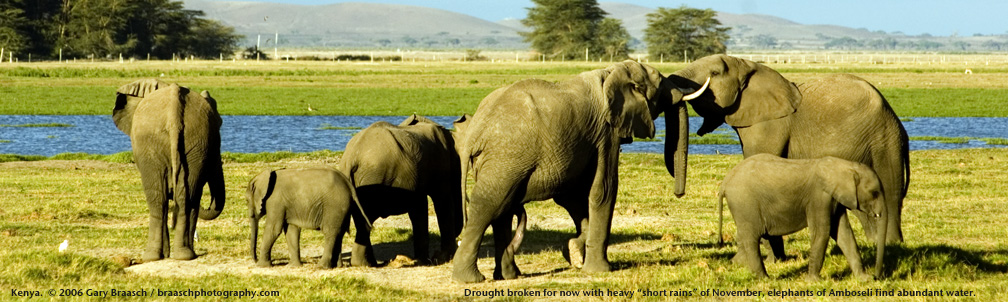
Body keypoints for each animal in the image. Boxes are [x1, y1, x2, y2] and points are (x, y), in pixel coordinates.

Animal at [113, 79, 225, 259]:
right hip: (184, 141)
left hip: (187, 142)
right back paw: (172, 255)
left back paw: (171, 255)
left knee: (171, 199)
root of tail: (174, 110)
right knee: (176, 198)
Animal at [338, 113, 463, 265]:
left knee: (362, 219)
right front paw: (435, 260)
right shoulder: (440, 165)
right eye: (457, 161)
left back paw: (368, 263)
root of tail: (351, 159)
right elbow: (439, 202)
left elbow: (419, 207)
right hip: (374, 180)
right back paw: (365, 264)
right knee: (366, 220)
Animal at [453, 61, 705, 283]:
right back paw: (469, 279)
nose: (679, 193)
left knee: (503, 207)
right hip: (507, 155)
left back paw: (508, 276)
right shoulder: (607, 132)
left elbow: (572, 197)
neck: (611, 72)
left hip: (498, 160)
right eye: (659, 83)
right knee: (488, 204)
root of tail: (475, 130)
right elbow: (603, 190)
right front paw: (600, 270)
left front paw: (574, 251)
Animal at [669, 53, 915, 242]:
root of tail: (898, 123)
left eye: (715, 73)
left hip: (884, 140)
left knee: (889, 192)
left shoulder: (769, 124)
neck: (749, 65)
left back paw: (890, 243)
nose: (679, 194)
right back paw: (874, 241)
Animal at [717, 156, 891, 279]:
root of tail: (725, 181)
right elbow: (822, 232)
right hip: (745, 203)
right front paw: (814, 281)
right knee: (752, 239)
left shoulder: (835, 198)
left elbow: (844, 233)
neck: (845, 165)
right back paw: (764, 278)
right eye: (874, 193)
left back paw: (737, 264)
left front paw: (864, 279)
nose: (876, 277)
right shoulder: (819, 197)